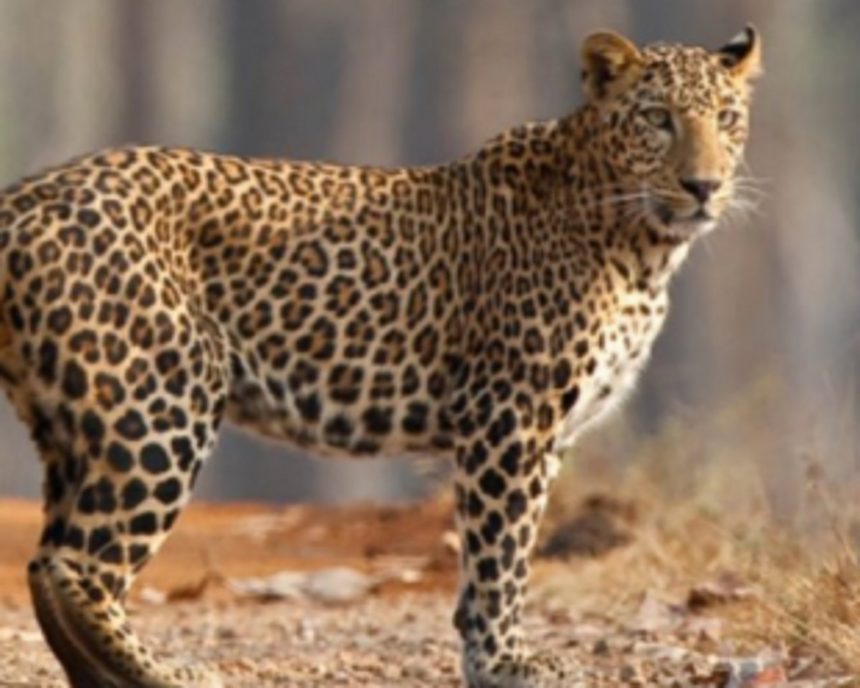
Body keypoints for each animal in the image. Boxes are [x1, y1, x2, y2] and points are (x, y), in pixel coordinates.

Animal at [0, 25, 761, 688]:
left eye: (727, 118)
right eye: (658, 118)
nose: (703, 186)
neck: (642, 248)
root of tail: (23, 200)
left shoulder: (548, 434)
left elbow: (492, 559)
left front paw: (484, 655)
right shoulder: (510, 417)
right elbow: (503, 555)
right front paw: (505, 663)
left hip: (77, 422)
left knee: (44, 564)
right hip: (160, 404)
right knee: (75, 567)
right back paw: (165, 674)